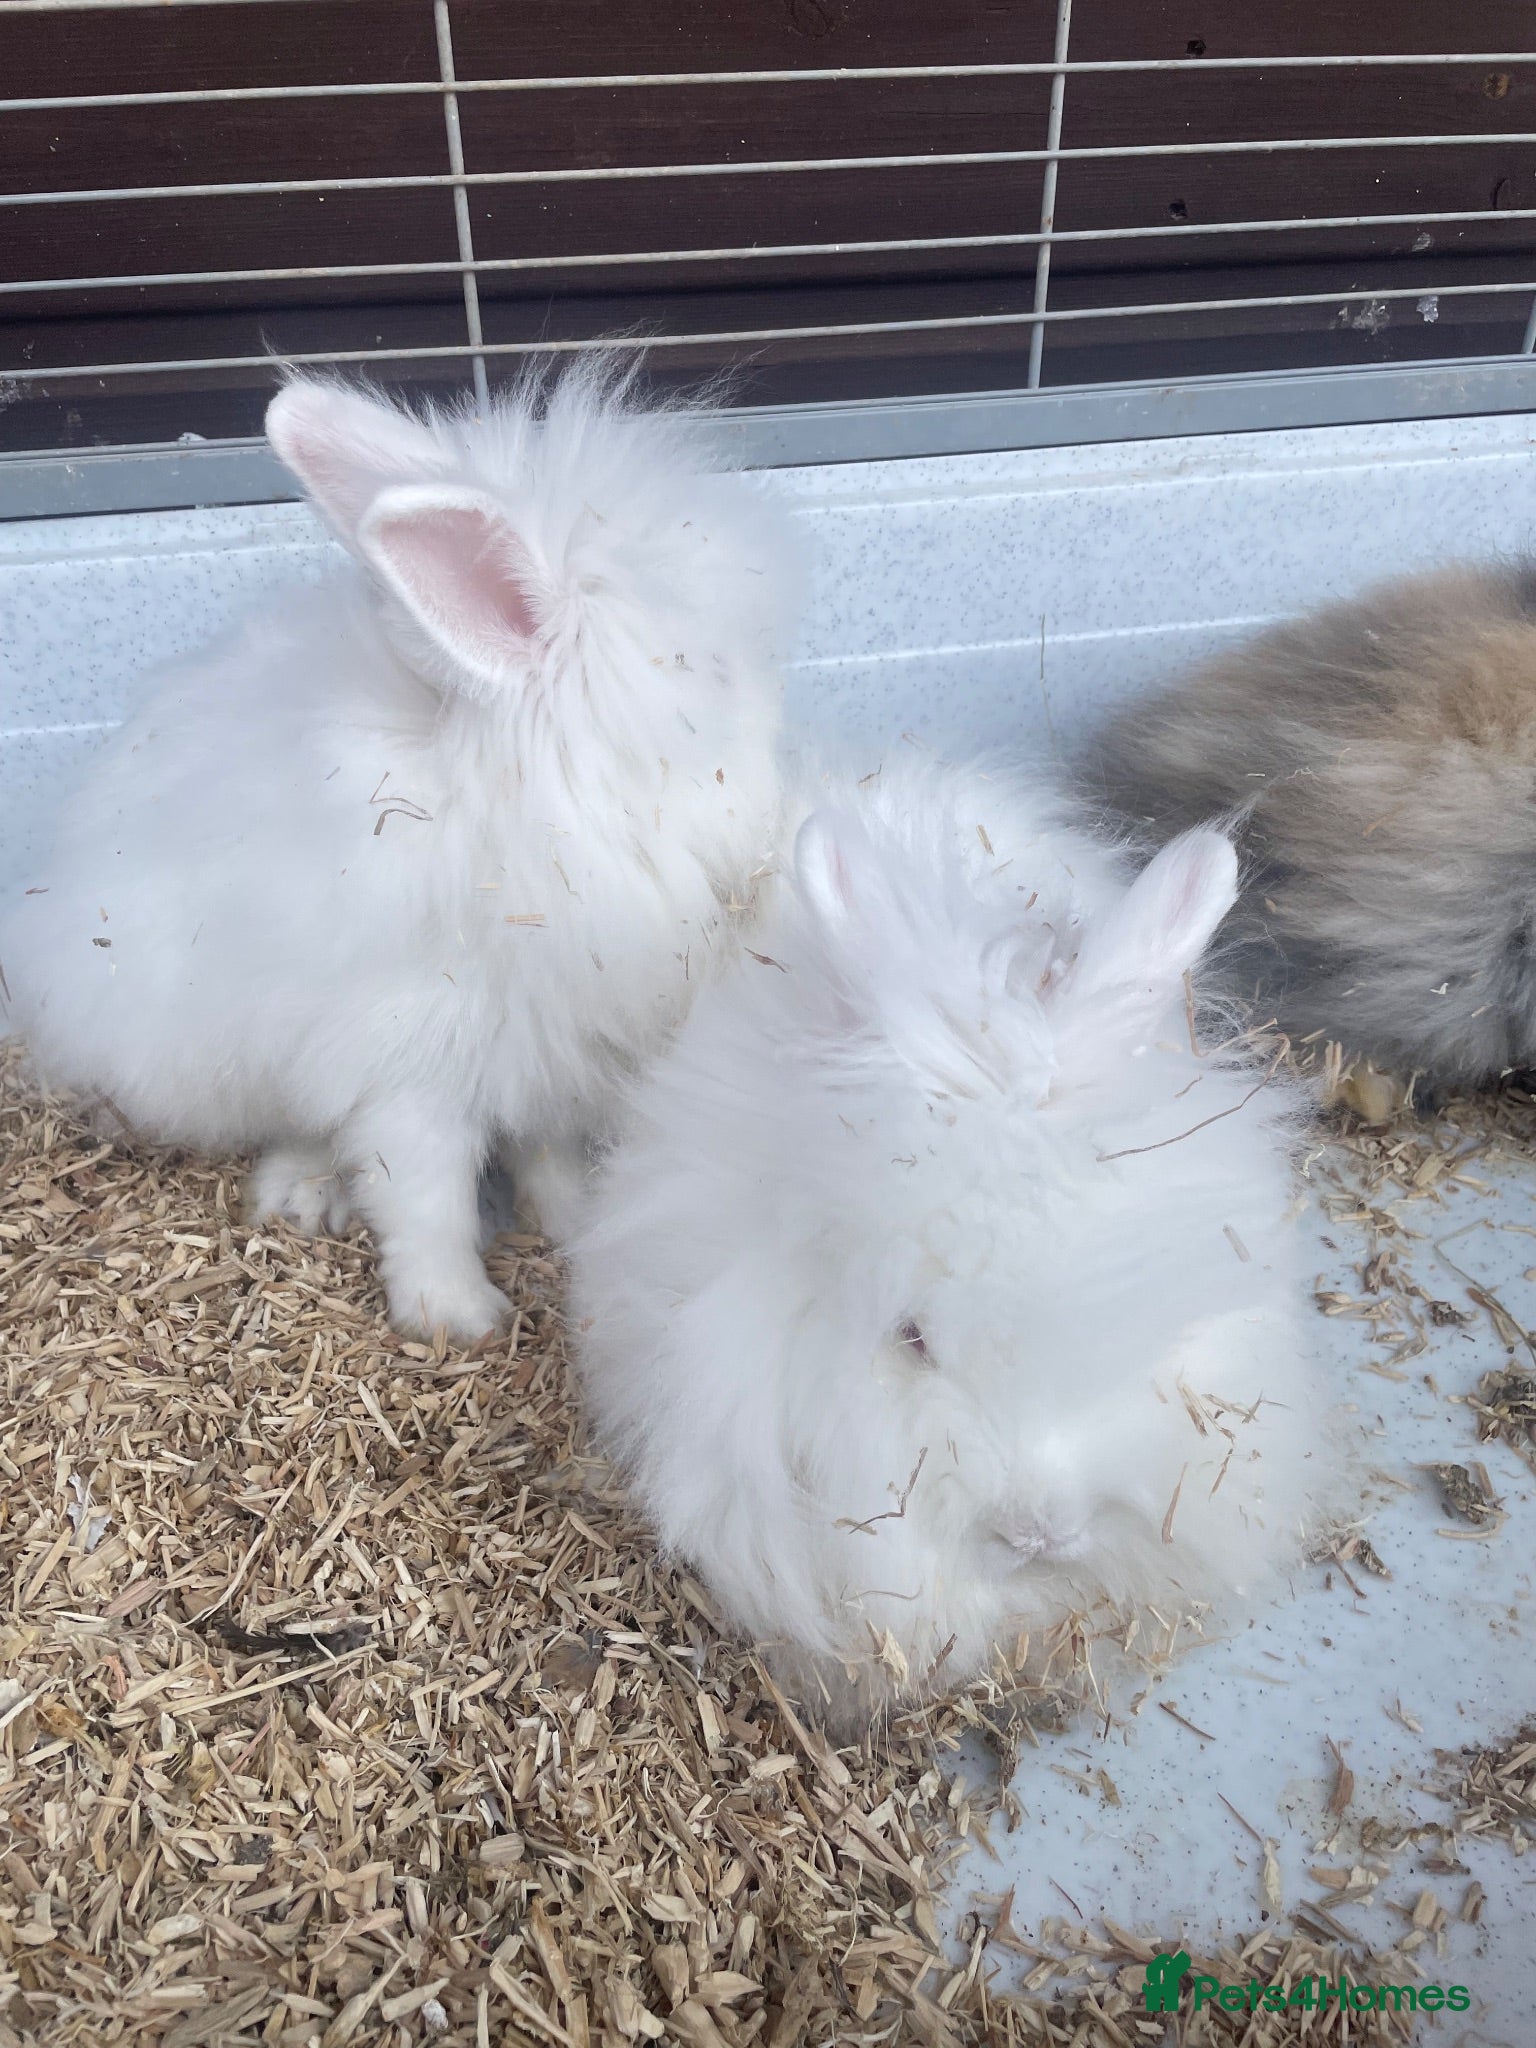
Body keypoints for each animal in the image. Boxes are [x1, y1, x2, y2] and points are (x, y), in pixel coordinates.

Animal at [0, 355, 800, 1340]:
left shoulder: (539, 1058)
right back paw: (304, 1191)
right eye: (716, 678)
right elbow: (425, 1199)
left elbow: (544, 1153)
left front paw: (572, 1223)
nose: (779, 775)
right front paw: (458, 1316)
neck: (522, 820)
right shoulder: (411, 1075)